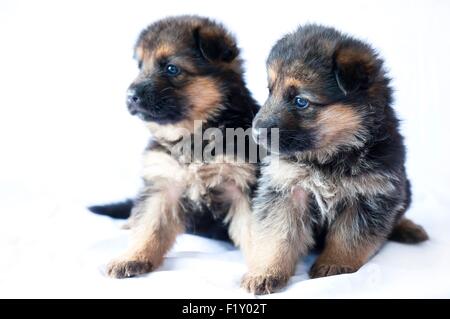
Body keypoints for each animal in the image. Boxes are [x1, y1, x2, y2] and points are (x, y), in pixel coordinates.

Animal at [95, 16, 258, 278]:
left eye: (171, 68)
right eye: (140, 66)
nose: (130, 96)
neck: (194, 133)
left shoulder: (243, 186)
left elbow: (260, 236)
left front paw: (264, 270)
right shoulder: (163, 184)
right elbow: (149, 225)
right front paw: (133, 257)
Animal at [243, 24, 428, 296]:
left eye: (301, 101)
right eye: (270, 91)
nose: (255, 132)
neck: (330, 156)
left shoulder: (370, 196)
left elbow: (348, 237)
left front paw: (333, 265)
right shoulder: (285, 191)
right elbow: (276, 236)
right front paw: (266, 272)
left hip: (405, 187)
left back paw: (407, 227)